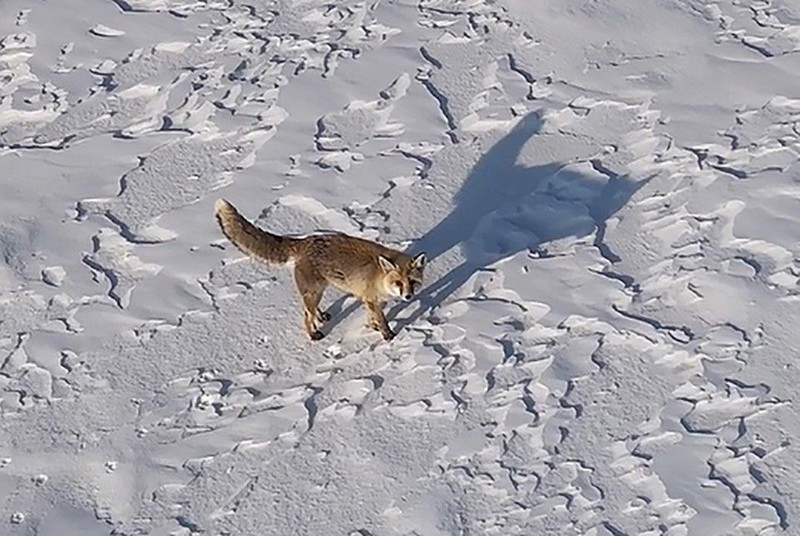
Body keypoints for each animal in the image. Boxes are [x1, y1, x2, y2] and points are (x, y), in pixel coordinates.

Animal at [212, 199, 424, 342]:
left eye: (413, 282)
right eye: (398, 282)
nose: (408, 297)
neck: (379, 278)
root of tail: (305, 241)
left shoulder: (371, 299)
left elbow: (374, 317)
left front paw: (373, 327)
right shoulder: (371, 299)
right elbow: (382, 320)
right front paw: (388, 335)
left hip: (318, 290)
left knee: (310, 310)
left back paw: (321, 316)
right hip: (313, 292)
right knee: (307, 316)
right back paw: (313, 333)